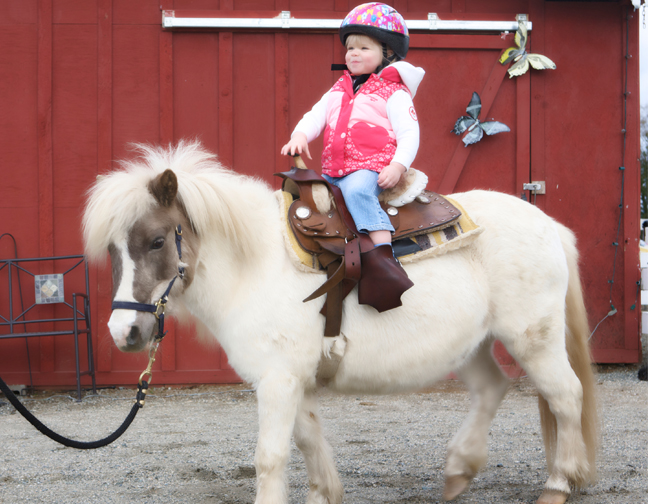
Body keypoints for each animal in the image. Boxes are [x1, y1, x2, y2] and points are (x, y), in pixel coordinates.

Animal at [82, 141, 598, 504]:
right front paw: (325, 492)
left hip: (533, 339)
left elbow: (270, 457)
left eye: (155, 241)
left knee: (566, 396)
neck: (255, 266)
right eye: (112, 248)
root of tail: (550, 225)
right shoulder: (293, 380)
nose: (124, 333)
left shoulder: (277, 380)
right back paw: (458, 471)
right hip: (472, 345)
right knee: (493, 388)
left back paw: (558, 483)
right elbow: (309, 439)